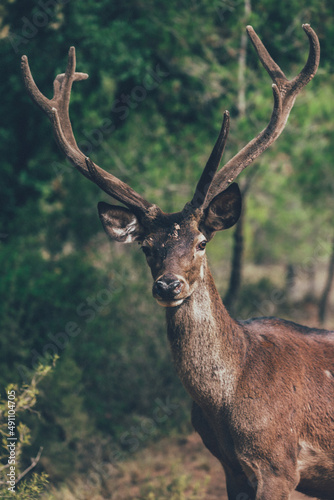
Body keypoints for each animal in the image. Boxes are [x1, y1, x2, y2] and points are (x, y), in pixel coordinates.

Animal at [21, 26, 334, 500]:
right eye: (147, 246)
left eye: (202, 241)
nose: (168, 285)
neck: (227, 403)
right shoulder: (232, 469)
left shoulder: (279, 466)